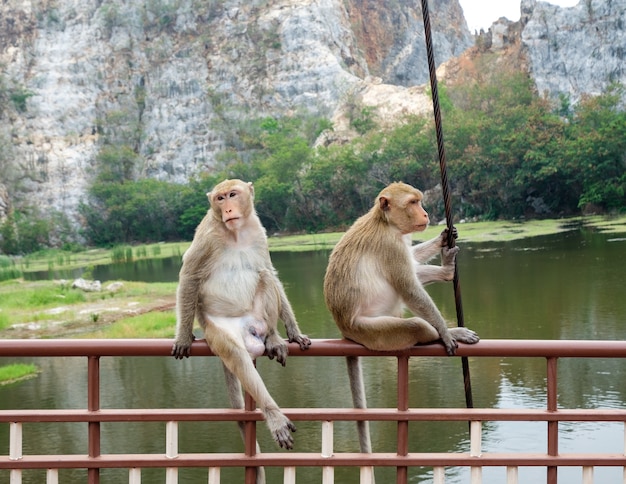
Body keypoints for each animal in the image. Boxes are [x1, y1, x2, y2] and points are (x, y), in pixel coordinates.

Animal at [171, 179, 310, 466]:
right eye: (220, 198)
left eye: (233, 195)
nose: (228, 209)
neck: (234, 233)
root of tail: (248, 327)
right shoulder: (208, 235)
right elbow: (189, 275)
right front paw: (183, 336)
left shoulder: (259, 232)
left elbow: (271, 272)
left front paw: (293, 331)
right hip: (218, 329)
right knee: (237, 355)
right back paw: (273, 414)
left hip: (256, 317)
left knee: (265, 276)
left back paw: (274, 337)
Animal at [322, 180, 478, 466]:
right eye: (413, 203)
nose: (425, 214)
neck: (387, 224)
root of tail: (344, 329)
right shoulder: (390, 246)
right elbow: (409, 289)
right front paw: (445, 332)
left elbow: (412, 260)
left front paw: (442, 238)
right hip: (375, 331)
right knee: (414, 321)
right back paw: (449, 331)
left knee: (413, 269)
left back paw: (445, 271)